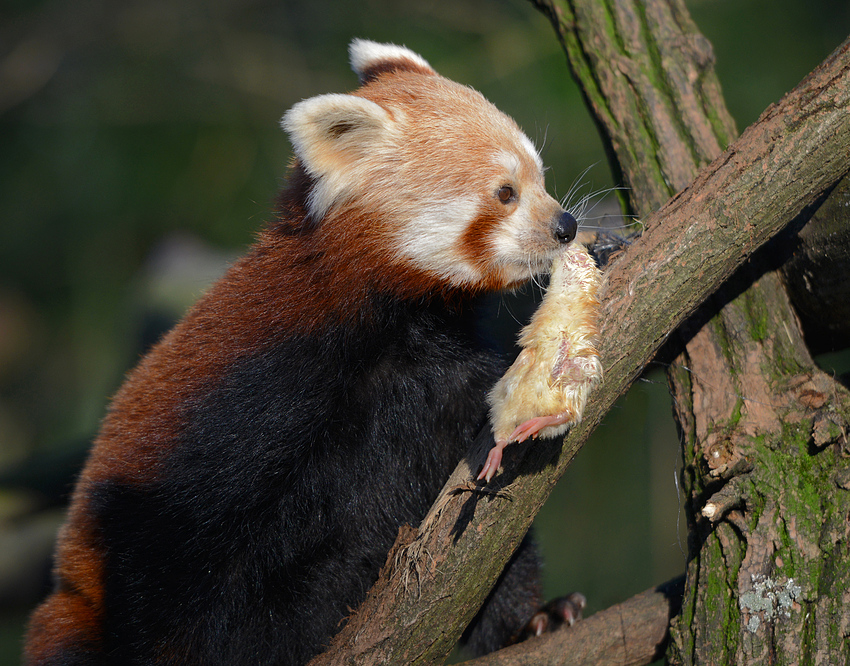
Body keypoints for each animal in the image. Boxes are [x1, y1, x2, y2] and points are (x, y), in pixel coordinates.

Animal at [23, 39, 588, 660]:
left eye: (541, 178)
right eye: (506, 193)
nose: (566, 225)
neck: (397, 331)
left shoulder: (452, 389)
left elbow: (490, 532)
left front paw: (530, 618)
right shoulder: (245, 408)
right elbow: (182, 582)